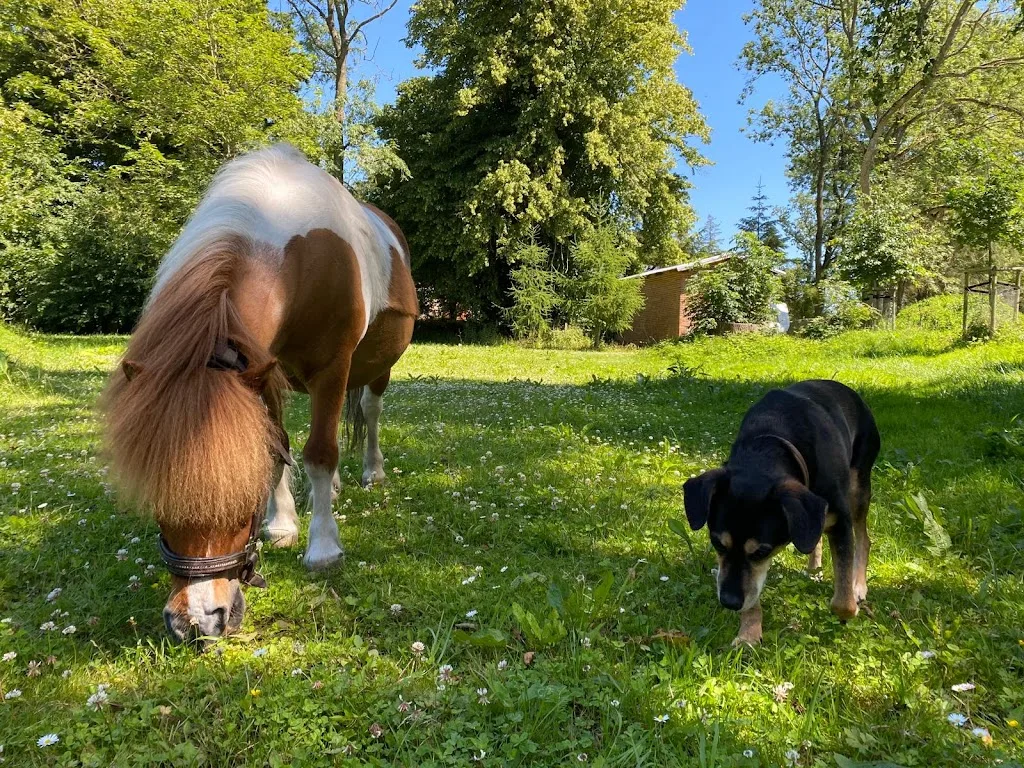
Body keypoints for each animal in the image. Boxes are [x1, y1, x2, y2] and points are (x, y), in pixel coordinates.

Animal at [101, 144, 417, 644]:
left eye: (237, 501)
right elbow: (277, 450)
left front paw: (323, 548)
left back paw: (372, 472)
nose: (196, 621)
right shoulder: (262, 373)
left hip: (377, 368)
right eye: (158, 502)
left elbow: (320, 453)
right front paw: (283, 524)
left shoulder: (332, 369)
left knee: (369, 412)